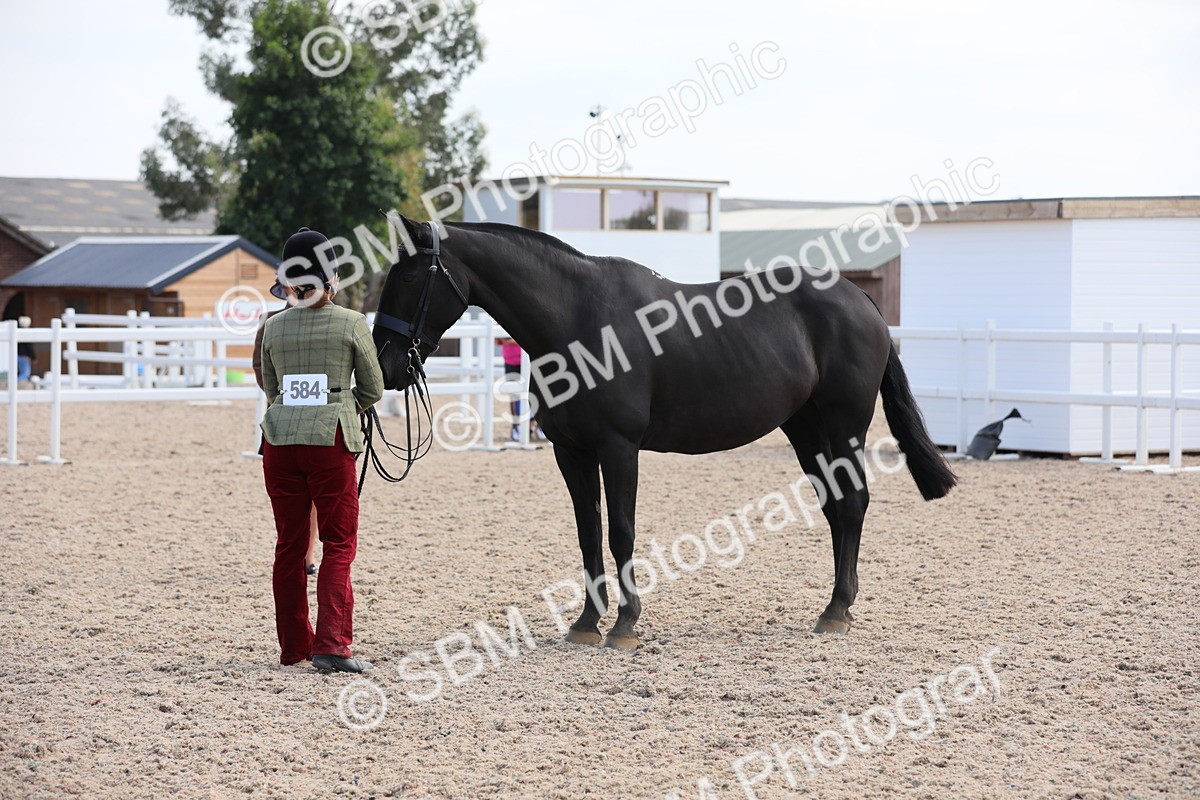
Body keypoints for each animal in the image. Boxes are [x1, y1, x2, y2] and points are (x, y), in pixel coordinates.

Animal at [371, 216, 957, 650]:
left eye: (407, 279)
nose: (387, 364)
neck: (578, 321)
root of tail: (862, 302)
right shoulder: (571, 452)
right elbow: (588, 534)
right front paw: (586, 624)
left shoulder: (619, 447)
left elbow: (621, 532)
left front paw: (625, 625)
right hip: (805, 429)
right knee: (837, 507)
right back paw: (835, 608)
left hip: (843, 425)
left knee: (853, 504)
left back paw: (837, 611)